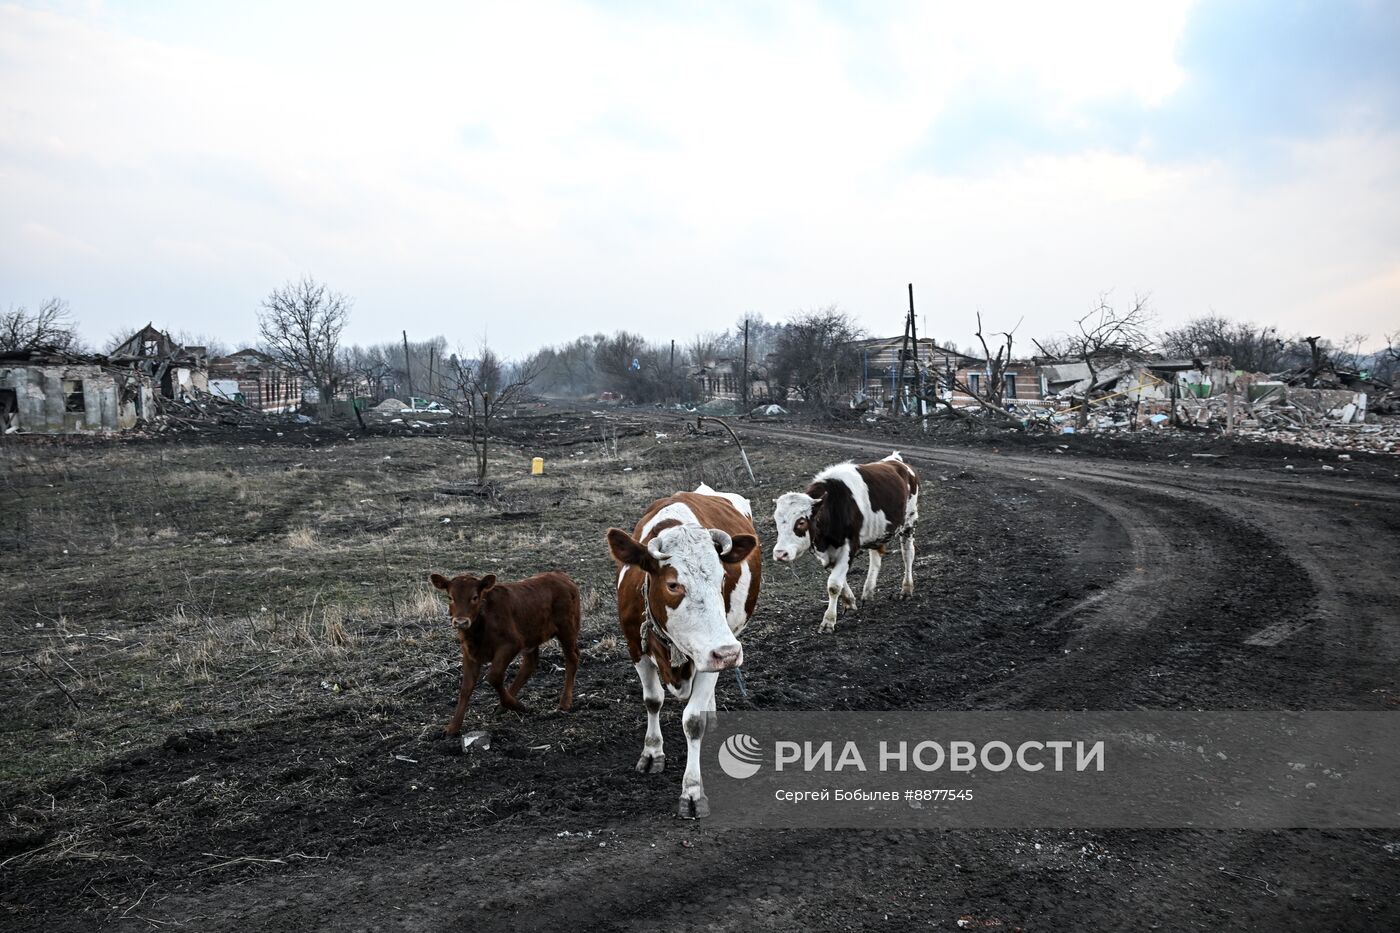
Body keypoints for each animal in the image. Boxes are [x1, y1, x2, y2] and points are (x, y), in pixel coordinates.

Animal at [425, 565, 579, 734]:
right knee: (530, 664)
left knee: (572, 658)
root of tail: (562, 576)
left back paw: (564, 702)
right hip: (532, 635)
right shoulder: (469, 652)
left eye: (474, 597)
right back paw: (502, 707)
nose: (460, 622)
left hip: (567, 628)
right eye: (450, 597)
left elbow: (494, 677)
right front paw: (453, 727)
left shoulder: (511, 644)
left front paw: (518, 705)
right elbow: (466, 687)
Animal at [604, 479, 761, 812]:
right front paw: (652, 752)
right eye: (673, 584)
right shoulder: (635, 647)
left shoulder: (711, 655)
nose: (730, 653)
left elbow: (693, 720)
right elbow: (652, 700)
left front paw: (692, 790)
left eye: (722, 578)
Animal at [767, 451, 918, 633]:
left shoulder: (849, 547)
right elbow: (839, 578)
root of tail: (895, 460)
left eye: (801, 522)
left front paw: (828, 621)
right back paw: (868, 592)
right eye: (776, 521)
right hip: (877, 532)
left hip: (909, 522)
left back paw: (906, 589)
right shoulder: (825, 552)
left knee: (907, 555)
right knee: (876, 557)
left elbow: (833, 585)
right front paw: (849, 602)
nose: (780, 554)